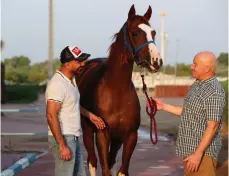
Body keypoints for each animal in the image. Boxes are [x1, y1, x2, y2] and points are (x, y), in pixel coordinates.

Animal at [76, 4, 162, 176]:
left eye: (153, 32)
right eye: (135, 33)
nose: (156, 61)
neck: (116, 91)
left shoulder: (130, 136)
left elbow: (121, 170)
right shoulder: (102, 134)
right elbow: (104, 169)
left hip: (116, 139)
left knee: (111, 161)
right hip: (88, 130)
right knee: (92, 161)